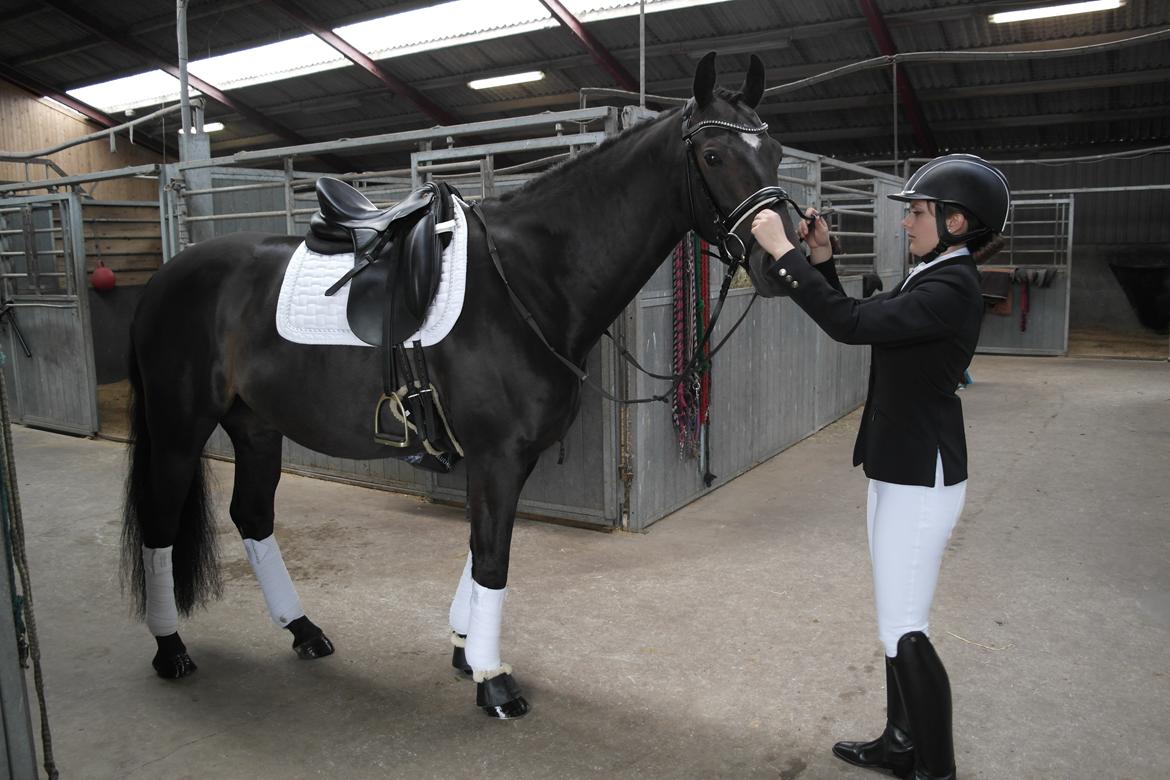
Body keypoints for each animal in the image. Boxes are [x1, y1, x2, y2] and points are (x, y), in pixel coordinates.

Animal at [121, 51, 795, 715]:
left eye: (774, 151)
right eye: (713, 155)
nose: (777, 263)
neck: (528, 283)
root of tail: (165, 277)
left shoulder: (507, 459)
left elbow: (478, 549)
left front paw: (465, 650)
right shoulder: (497, 456)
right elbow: (493, 558)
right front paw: (493, 680)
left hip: (257, 427)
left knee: (253, 516)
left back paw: (303, 630)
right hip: (180, 427)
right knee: (160, 522)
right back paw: (170, 648)